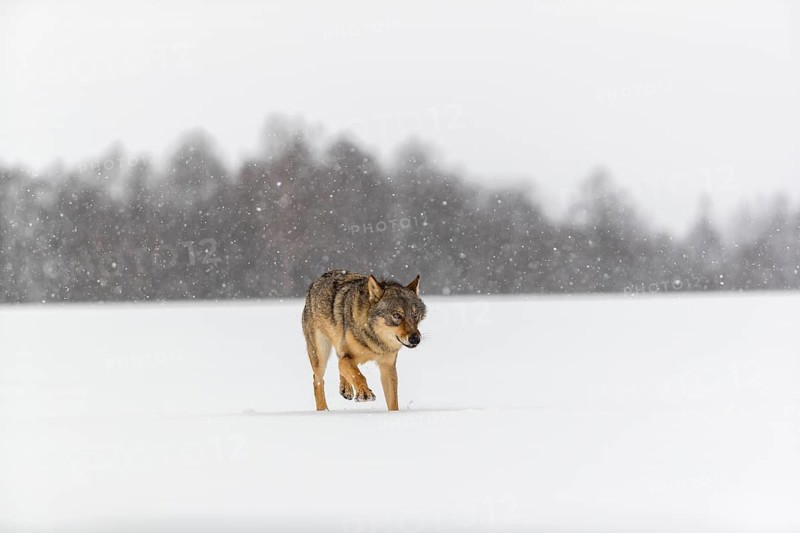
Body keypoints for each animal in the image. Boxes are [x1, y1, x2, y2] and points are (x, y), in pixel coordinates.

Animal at [301, 270, 427, 411]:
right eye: (396, 315)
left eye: (415, 315)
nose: (415, 339)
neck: (375, 343)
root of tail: (319, 279)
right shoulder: (347, 357)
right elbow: (357, 374)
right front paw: (364, 392)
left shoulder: (388, 367)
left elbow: (393, 401)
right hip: (320, 356)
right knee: (317, 380)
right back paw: (323, 411)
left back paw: (346, 389)